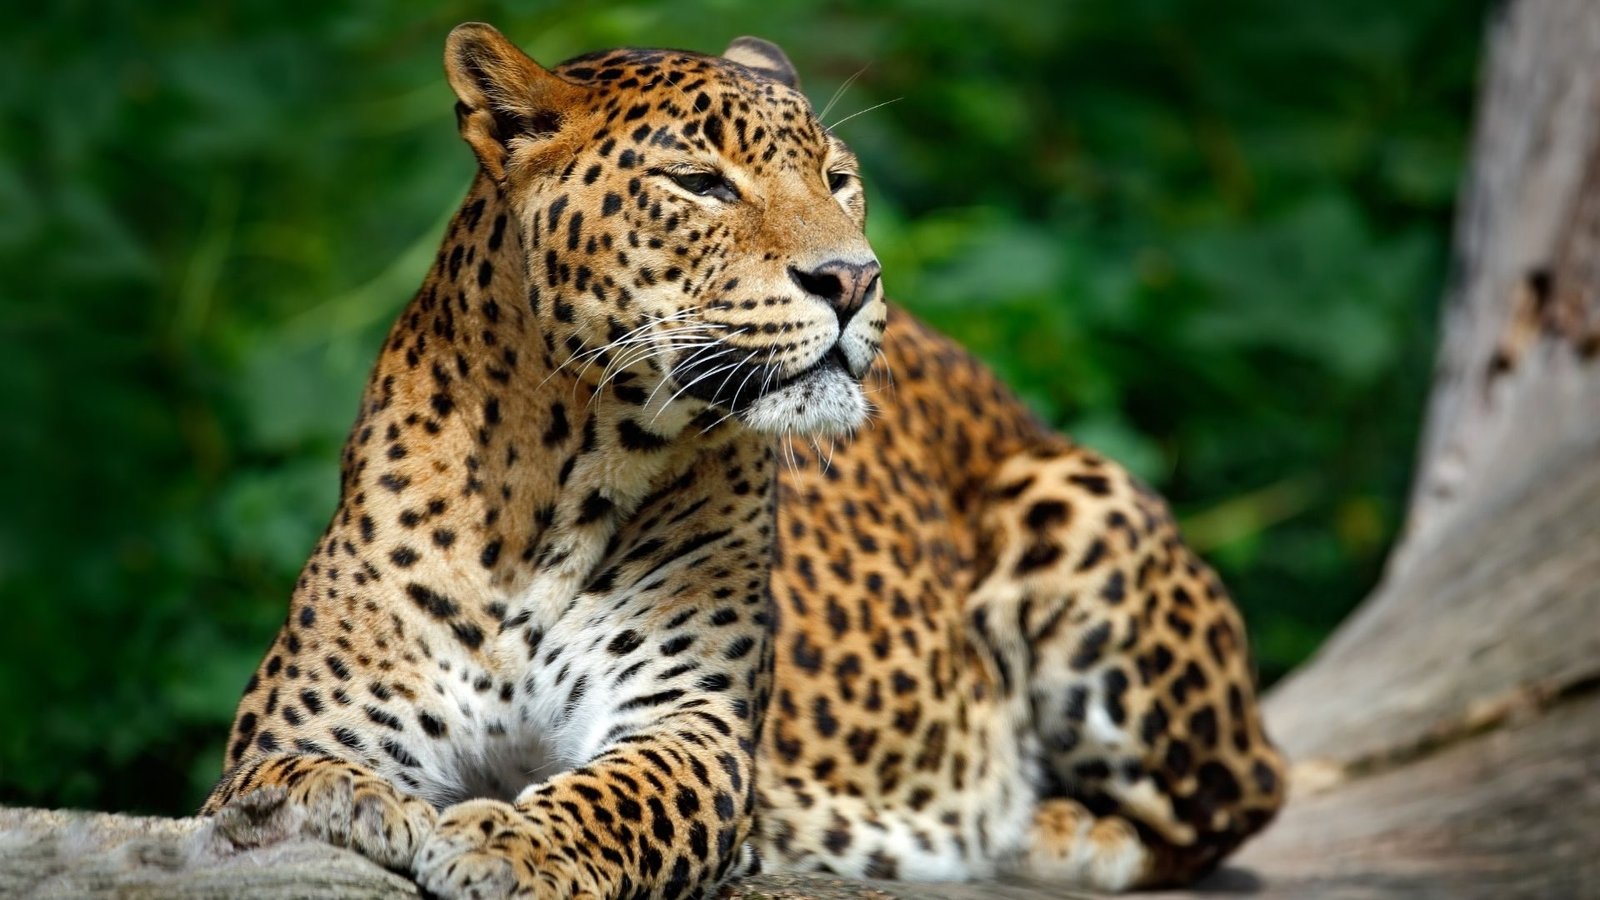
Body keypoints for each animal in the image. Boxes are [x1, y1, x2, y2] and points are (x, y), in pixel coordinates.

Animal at [203, 22, 1285, 899]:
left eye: (838, 179)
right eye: (701, 183)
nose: (853, 278)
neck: (558, 479)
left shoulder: (692, 723)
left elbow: (612, 797)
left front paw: (508, 844)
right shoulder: (299, 729)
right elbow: (290, 787)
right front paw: (371, 811)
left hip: (1074, 497)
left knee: (1240, 799)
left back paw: (1050, 829)